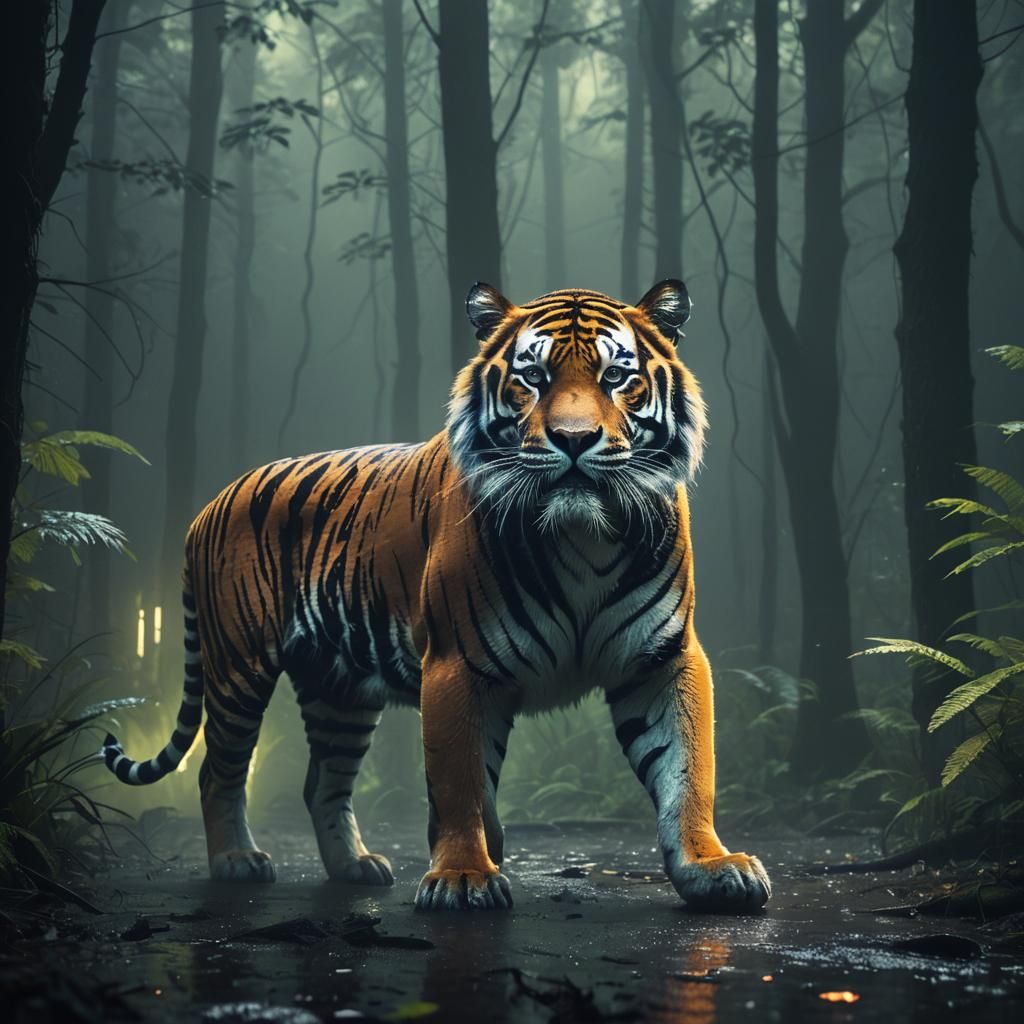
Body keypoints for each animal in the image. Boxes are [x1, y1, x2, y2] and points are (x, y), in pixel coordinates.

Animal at [101, 279, 770, 913]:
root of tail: (211, 503)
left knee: (323, 782)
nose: (573, 439)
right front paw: (464, 878)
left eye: (615, 377)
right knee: (217, 769)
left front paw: (713, 867)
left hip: (340, 690)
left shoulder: (664, 658)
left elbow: (688, 769)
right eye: (533, 378)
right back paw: (237, 860)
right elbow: (459, 782)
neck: (583, 534)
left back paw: (355, 866)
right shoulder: (457, 663)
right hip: (238, 668)